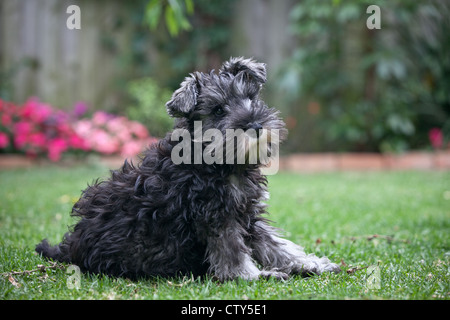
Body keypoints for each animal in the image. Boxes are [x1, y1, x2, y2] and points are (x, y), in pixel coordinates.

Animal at [36, 57, 342, 280]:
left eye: (251, 98)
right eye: (218, 110)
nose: (256, 125)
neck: (218, 162)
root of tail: (70, 246)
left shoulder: (247, 215)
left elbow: (275, 245)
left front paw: (310, 264)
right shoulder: (216, 216)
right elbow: (232, 253)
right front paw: (253, 275)